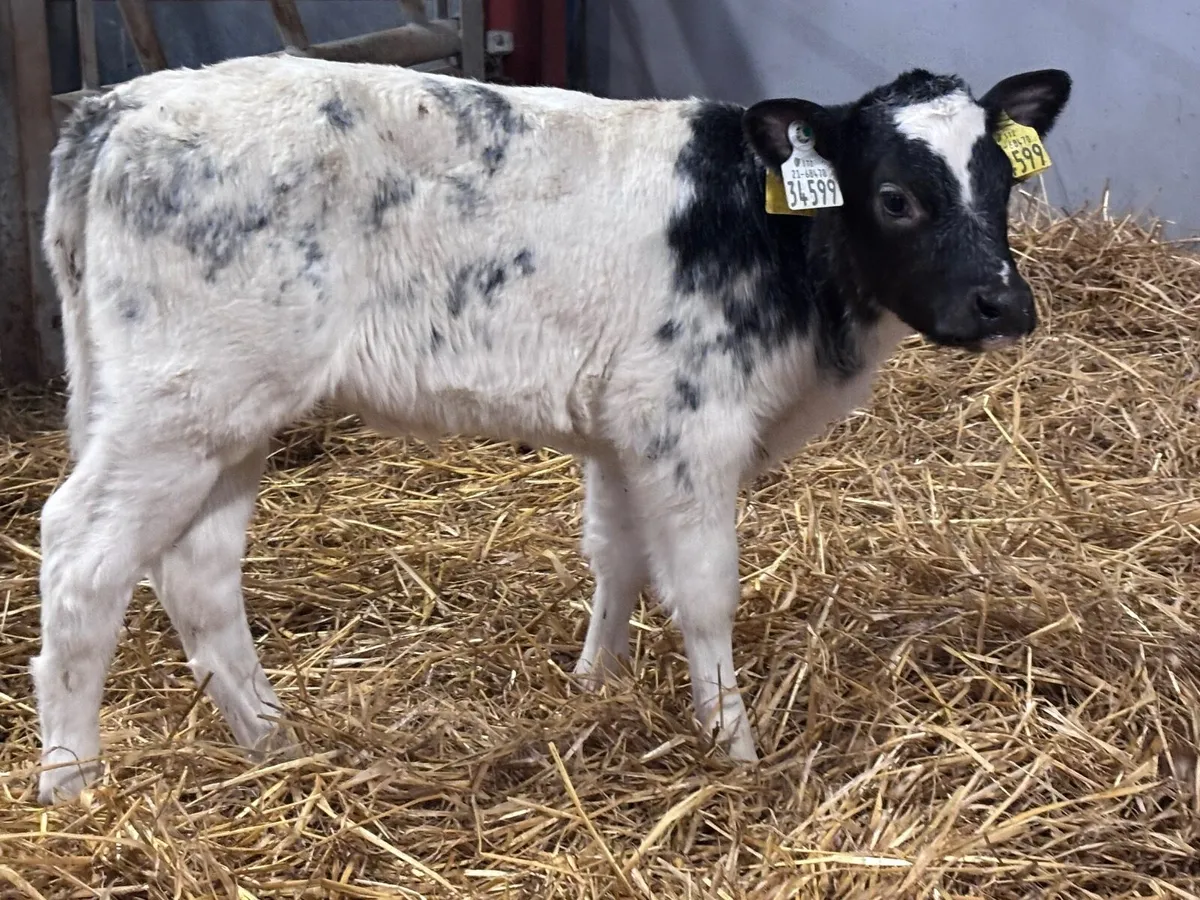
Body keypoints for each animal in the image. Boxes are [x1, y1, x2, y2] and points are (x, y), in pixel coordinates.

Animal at [32, 53, 1071, 803]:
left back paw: (272, 741)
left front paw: (593, 688)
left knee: (197, 572)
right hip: (180, 406)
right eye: (896, 197)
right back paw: (72, 784)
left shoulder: (621, 433)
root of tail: (120, 104)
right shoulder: (684, 422)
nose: (1003, 304)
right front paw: (732, 745)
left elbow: (618, 561)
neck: (772, 233)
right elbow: (703, 592)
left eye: (1002, 185)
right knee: (82, 553)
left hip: (222, 418)